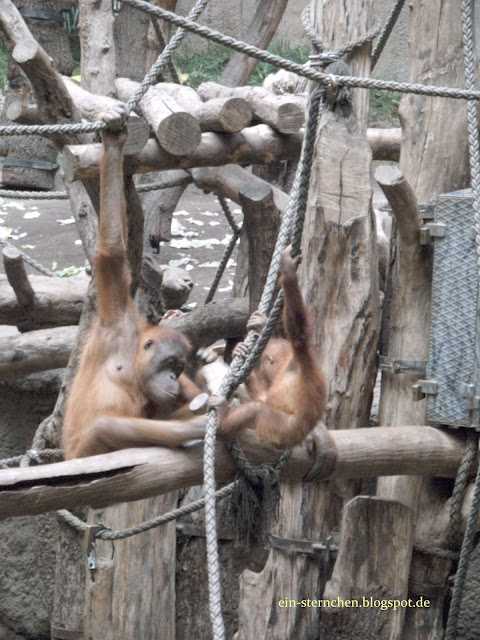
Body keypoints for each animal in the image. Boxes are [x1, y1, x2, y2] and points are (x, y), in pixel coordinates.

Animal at [62, 105, 206, 459]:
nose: (173, 376)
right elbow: (113, 255)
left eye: (178, 368)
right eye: (170, 363)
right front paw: (114, 140)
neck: (131, 359)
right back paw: (188, 430)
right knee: (105, 427)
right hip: (82, 453)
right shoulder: (115, 321)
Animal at [210, 247, 327, 449]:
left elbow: (299, 333)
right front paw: (256, 331)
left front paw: (288, 272)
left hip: (280, 429)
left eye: (268, 361)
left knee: (256, 411)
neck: (289, 366)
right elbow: (264, 397)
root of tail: (298, 439)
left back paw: (222, 422)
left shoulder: (301, 358)